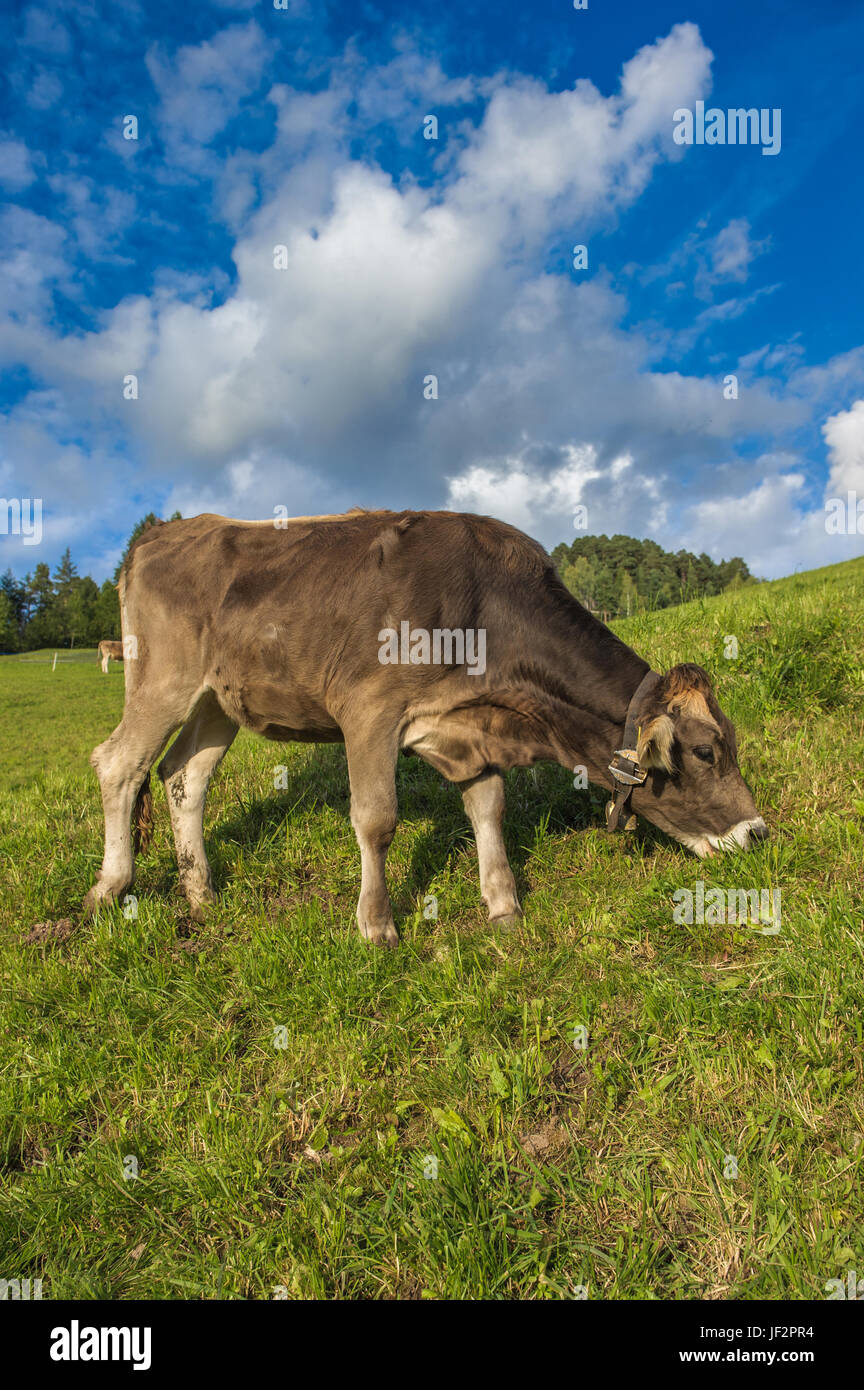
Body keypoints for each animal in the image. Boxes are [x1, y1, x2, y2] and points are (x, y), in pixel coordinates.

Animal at [83, 510, 768, 944]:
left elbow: (488, 809)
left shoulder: (471, 729)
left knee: (183, 777)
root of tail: (162, 534)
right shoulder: (368, 710)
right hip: (162, 679)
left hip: (217, 701)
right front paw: (377, 926)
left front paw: (504, 907)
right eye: (705, 752)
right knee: (119, 764)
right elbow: (377, 820)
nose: (759, 833)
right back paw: (110, 887)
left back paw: (201, 896)